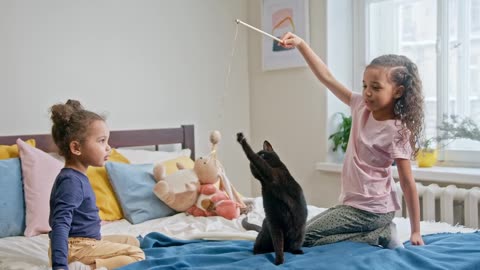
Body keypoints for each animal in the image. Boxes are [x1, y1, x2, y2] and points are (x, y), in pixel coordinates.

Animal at [236, 133, 308, 266]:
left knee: (292, 245)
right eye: (250, 166)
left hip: (299, 231)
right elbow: (278, 246)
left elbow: (254, 157)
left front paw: (242, 140)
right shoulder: (275, 224)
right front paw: (279, 262)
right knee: (265, 246)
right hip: (269, 230)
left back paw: (297, 251)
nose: (250, 165)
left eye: (263, 154)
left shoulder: (273, 174)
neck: (264, 184)